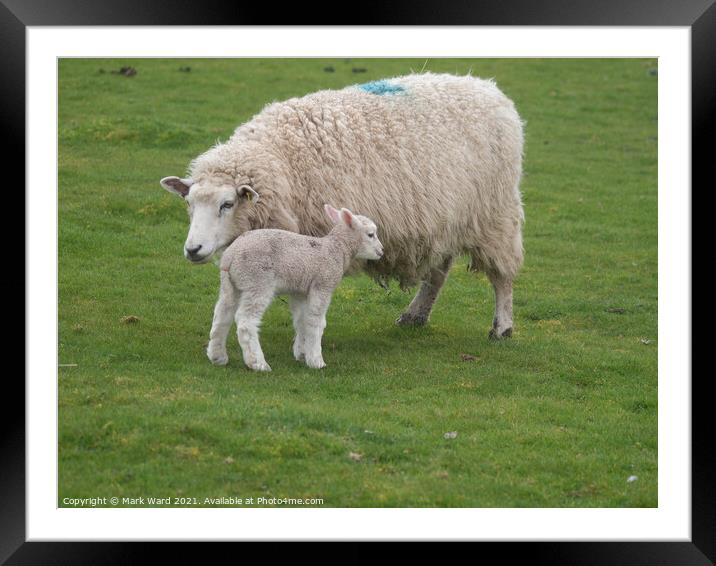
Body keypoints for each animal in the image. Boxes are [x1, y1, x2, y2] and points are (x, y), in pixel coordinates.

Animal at [159, 75, 524, 342]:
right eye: (188, 203)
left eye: (227, 204)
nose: (193, 249)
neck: (279, 159)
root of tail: (487, 88)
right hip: (447, 217)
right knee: (438, 271)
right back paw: (415, 315)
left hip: (495, 213)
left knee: (502, 276)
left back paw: (502, 327)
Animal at [207, 205, 386, 372]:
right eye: (371, 234)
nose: (382, 251)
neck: (336, 250)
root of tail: (230, 256)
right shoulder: (323, 285)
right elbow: (316, 321)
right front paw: (316, 361)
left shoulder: (299, 290)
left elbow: (302, 320)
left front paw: (301, 353)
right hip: (257, 281)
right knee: (246, 321)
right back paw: (258, 363)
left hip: (231, 284)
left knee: (221, 315)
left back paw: (217, 356)